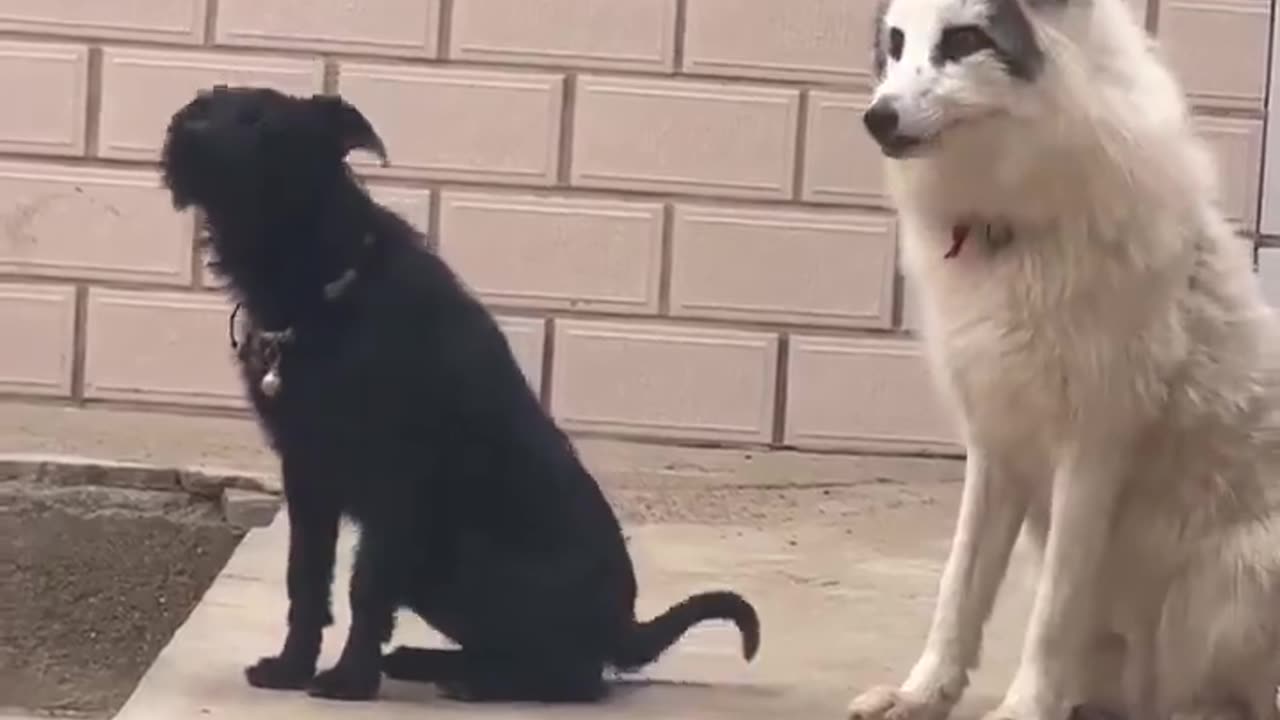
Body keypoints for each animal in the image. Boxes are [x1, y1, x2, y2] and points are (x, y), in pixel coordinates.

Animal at [160, 88, 757, 702]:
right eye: (206, 104)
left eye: (262, 121)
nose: (186, 130)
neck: (323, 281)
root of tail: (624, 627)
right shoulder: (307, 473)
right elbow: (305, 578)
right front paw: (292, 668)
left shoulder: (395, 480)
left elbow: (366, 586)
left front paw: (349, 679)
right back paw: (435, 663)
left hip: (464, 555)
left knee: (576, 678)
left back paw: (485, 683)